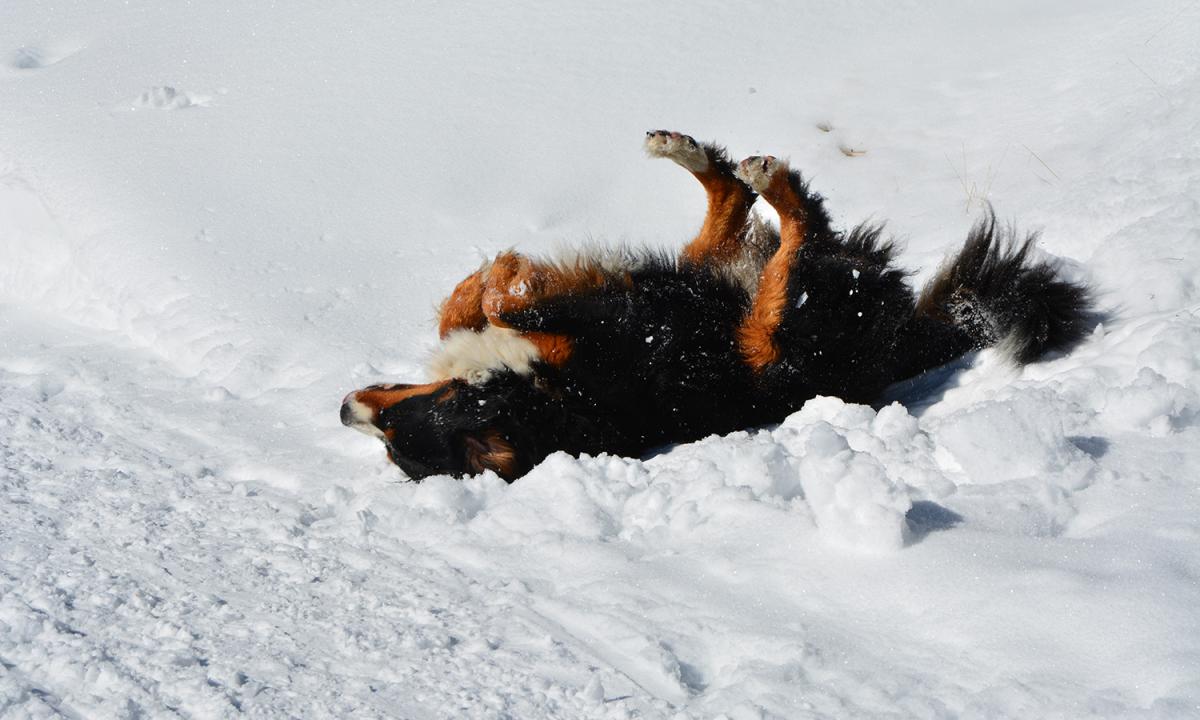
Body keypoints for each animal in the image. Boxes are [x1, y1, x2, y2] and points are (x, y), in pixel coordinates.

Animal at [343, 131, 1094, 480]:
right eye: (396, 444)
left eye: (401, 423)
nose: (344, 408)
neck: (533, 397)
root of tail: (902, 338)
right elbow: (499, 315)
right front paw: (505, 286)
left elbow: (475, 309)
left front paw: (497, 277)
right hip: (775, 345)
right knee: (794, 242)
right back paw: (764, 177)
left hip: (723, 290)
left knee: (736, 210)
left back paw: (695, 155)